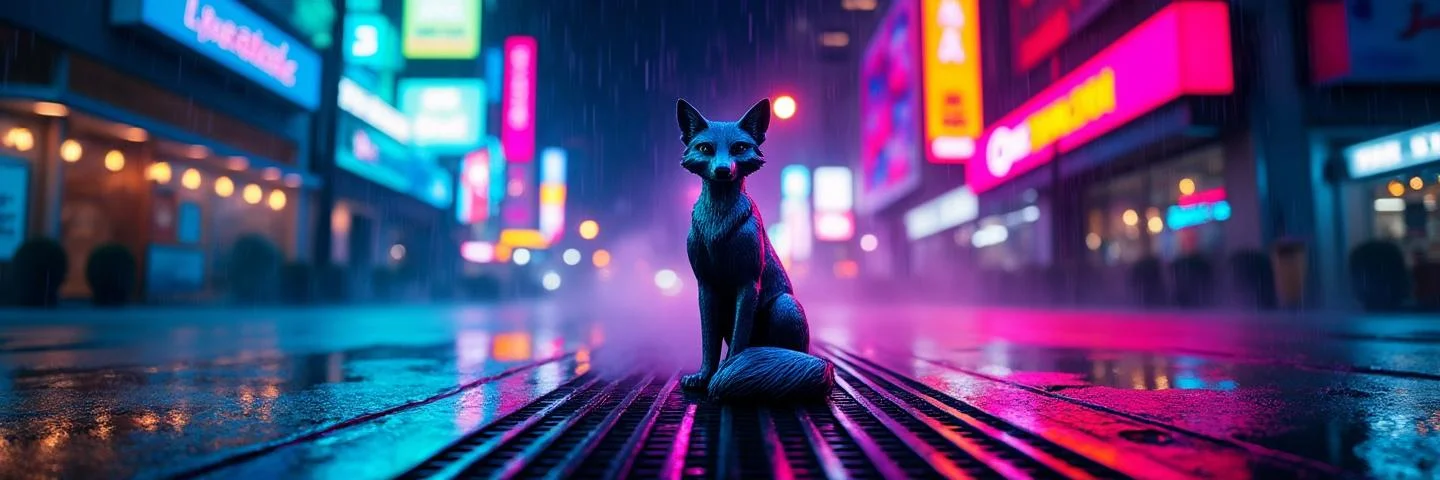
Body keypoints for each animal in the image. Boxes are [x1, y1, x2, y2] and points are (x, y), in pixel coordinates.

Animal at [675, 98, 834, 403]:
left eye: (738, 148)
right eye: (705, 149)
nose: (723, 170)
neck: (718, 223)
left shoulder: (748, 283)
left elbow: (739, 340)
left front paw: (726, 372)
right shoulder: (706, 286)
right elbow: (708, 340)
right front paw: (704, 376)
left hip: (786, 305)